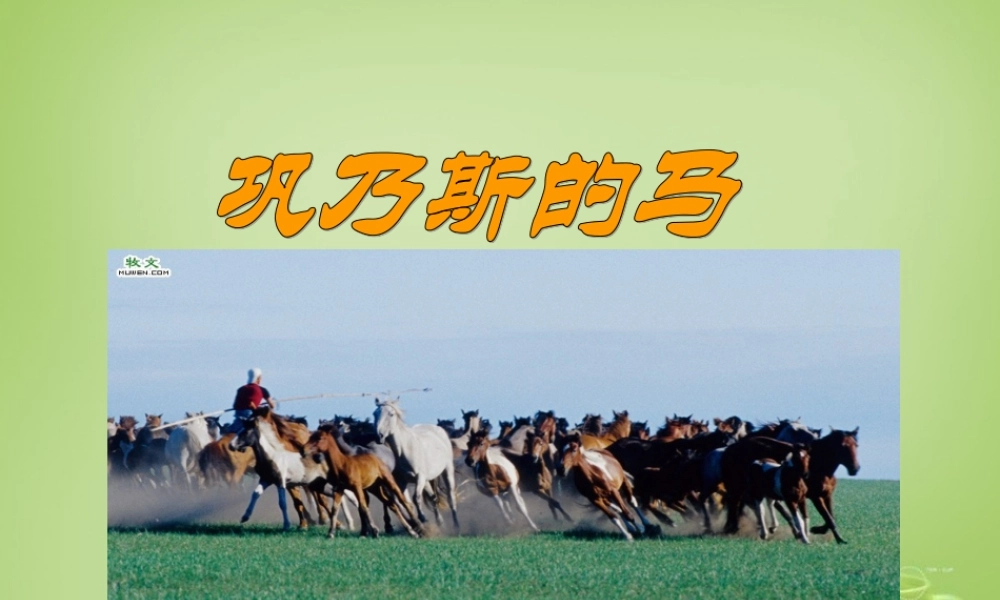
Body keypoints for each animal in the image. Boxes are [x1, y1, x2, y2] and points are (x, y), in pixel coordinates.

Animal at [374, 398, 460, 529]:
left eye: (391, 414)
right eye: (374, 414)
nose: (379, 435)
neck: (405, 451)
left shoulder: (420, 477)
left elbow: (416, 498)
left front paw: (422, 517)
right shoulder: (401, 481)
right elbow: (404, 501)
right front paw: (415, 521)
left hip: (447, 470)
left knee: (450, 496)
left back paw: (456, 525)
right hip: (427, 480)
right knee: (433, 497)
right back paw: (440, 522)